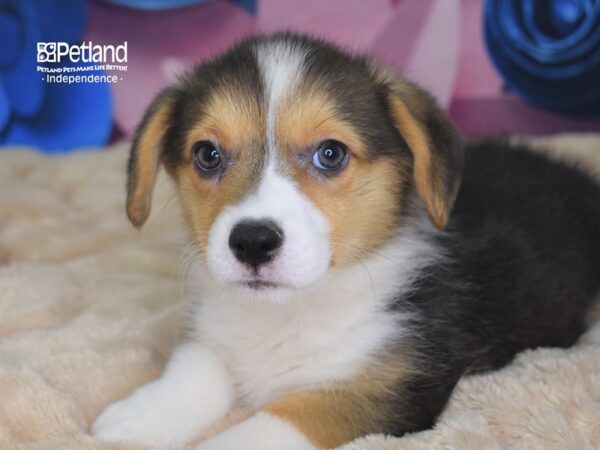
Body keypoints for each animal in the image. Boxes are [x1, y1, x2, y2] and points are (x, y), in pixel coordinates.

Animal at [91, 33, 600, 448]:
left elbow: (282, 417)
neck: (290, 312)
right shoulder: (213, 335)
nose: (252, 242)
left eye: (331, 154)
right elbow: (194, 365)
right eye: (207, 155)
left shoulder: (391, 387)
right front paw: (137, 417)